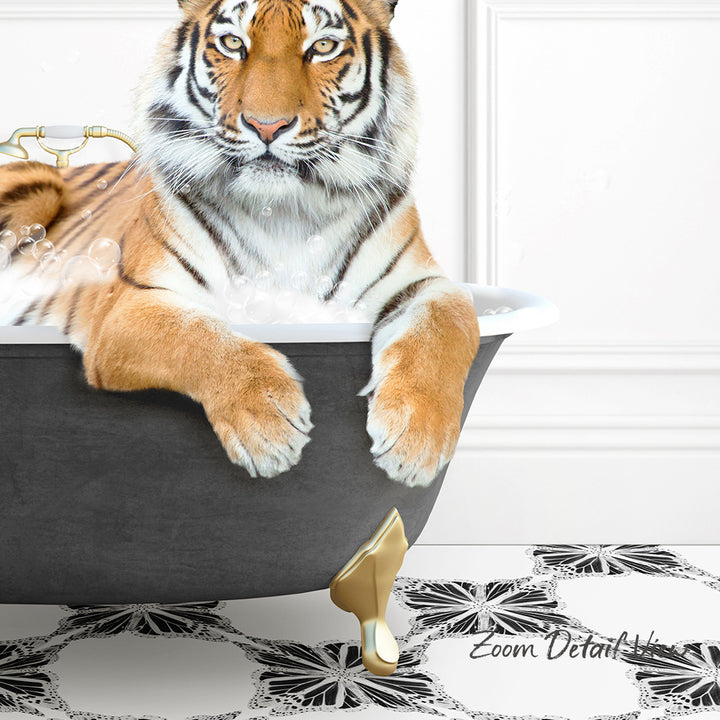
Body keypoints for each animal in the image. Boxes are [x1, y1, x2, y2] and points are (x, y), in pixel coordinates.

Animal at [0, 0, 480, 488]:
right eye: (233, 43)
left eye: (323, 46)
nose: (267, 127)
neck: (285, 212)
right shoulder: (130, 305)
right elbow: (198, 336)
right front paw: (268, 426)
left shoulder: (424, 283)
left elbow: (447, 325)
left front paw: (416, 438)